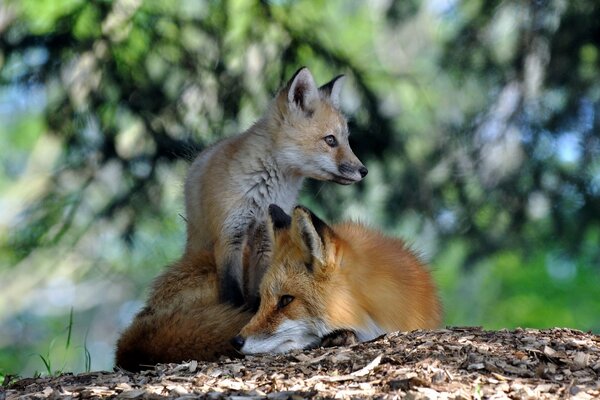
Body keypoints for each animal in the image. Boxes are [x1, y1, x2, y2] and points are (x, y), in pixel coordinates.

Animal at [185, 66, 368, 306]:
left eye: (346, 140)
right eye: (330, 140)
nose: (364, 171)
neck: (266, 189)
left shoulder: (266, 237)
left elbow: (260, 288)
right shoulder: (229, 235)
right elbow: (232, 295)